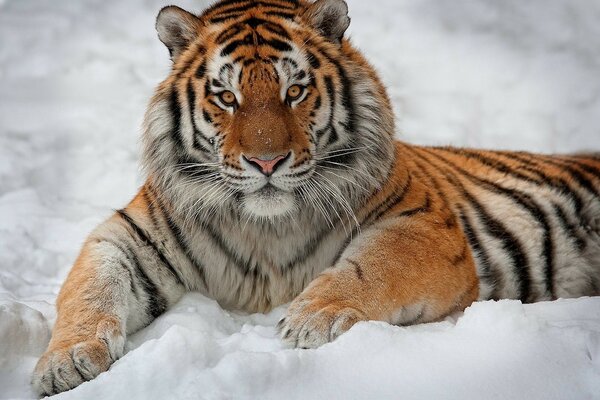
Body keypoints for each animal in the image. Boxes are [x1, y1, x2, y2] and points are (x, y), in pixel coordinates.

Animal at [31, 0, 600, 396]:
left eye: (295, 91)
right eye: (227, 97)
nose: (266, 162)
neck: (265, 227)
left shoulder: (424, 224)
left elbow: (375, 264)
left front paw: (312, 318)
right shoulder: (127, 235)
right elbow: (88, 289)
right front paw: (65, 362)